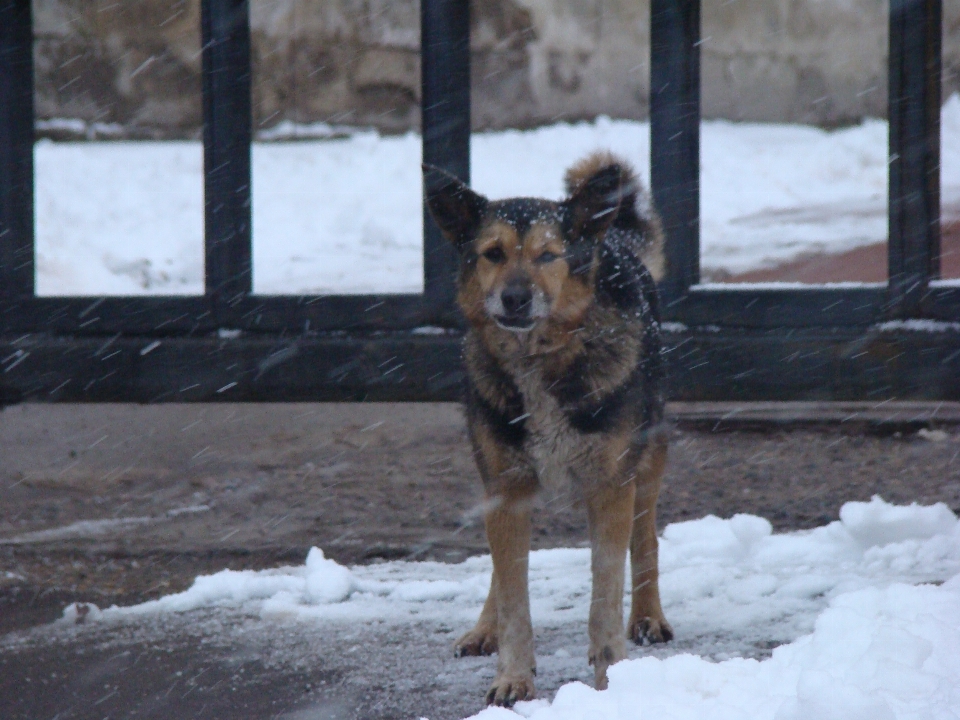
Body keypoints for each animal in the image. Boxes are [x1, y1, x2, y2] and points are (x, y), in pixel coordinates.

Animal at [424, 152, 672, 708]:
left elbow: (605, 594)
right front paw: (513, 677)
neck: (539, 358)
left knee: (645, 537)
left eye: (548, 256)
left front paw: (611, 679)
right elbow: (514, 594)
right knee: (501, 571)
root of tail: (614, 237)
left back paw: (648, 616)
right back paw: (484, 628)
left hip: (647, 455)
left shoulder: (610, 485)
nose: (514, 298)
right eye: (492, 254)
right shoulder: (506, 485)